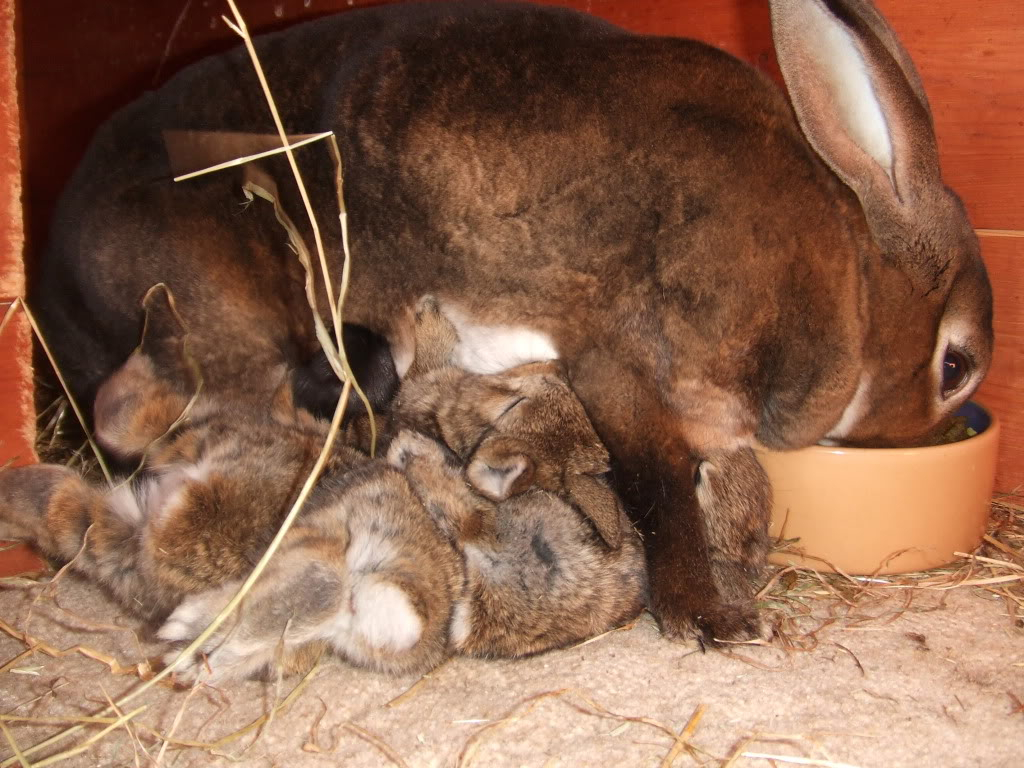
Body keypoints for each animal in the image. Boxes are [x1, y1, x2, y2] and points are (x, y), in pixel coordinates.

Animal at [32, 0, 991, 647]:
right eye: (957, 366)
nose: (922, 440)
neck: (850, 273)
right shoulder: (619, 365)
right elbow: (660, 488)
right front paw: (709, 618)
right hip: (235, 322)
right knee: (157, 413)